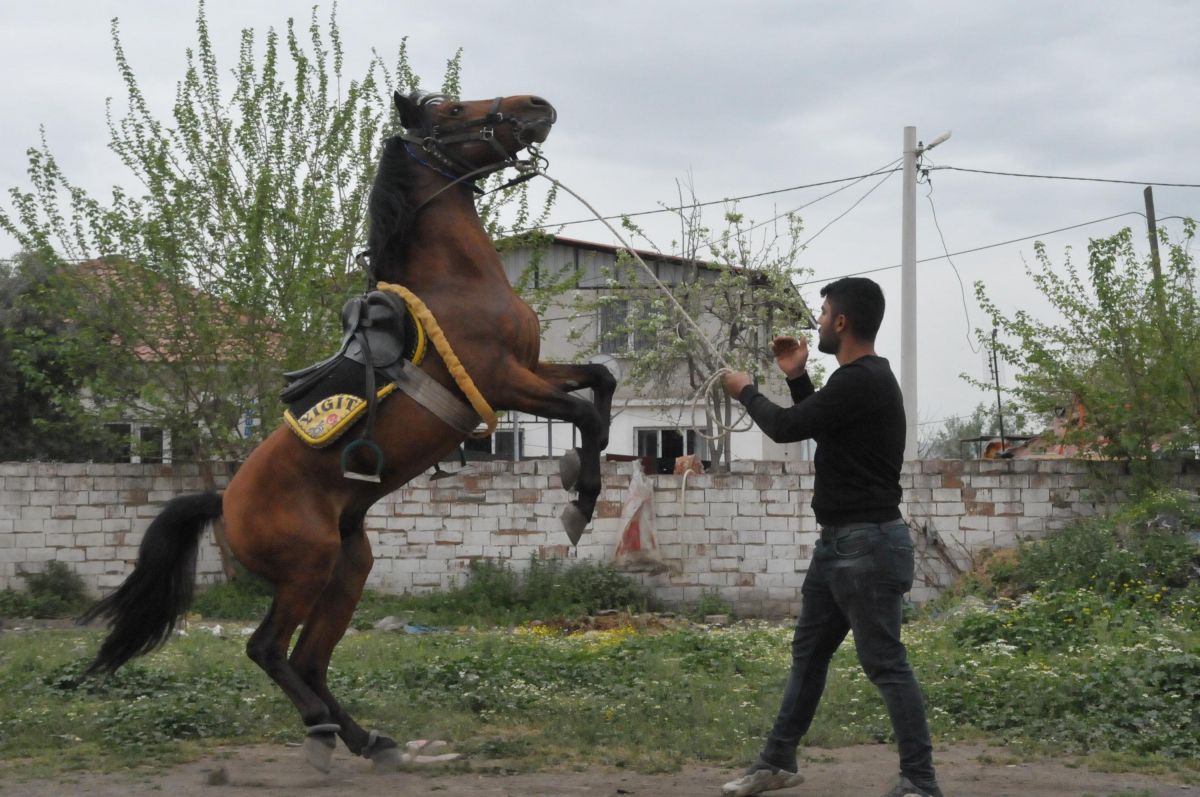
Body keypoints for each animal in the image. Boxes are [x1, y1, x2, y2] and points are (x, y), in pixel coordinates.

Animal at [79, 90, 614, 772]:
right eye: (453, 110)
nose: (535, 105)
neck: (456, 285)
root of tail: (224, 499)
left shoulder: (532, 369)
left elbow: (601, 382)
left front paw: (584, 476)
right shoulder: (502, 382)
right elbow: (587, 413)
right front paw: (581, 501)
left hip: (348, 565)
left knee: (309, 658)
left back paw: (367, 740)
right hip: (308, 568)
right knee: (268, 649)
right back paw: (321, 728)